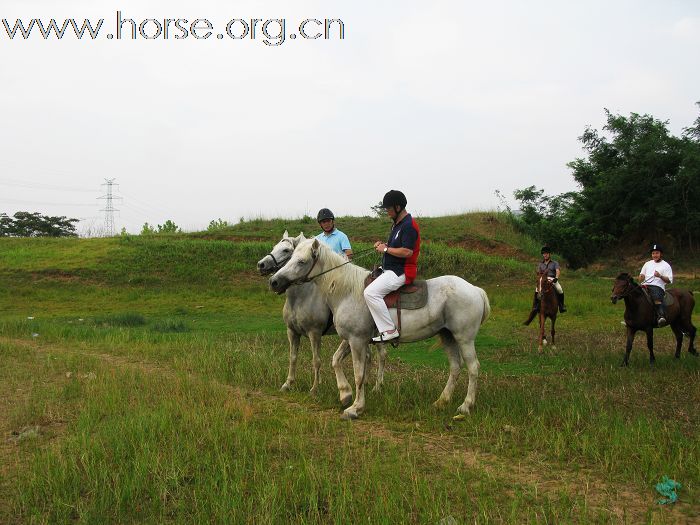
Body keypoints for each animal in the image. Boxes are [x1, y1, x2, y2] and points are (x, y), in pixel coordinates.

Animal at [258, 231, 388, 396]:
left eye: (286, 250)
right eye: (274, 247)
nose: (261, 265)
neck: (300, 298)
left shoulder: (314, 333)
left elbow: (316, 360)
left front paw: (315, 388)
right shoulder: (292, 332)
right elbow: (293, 357)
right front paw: (288, 384)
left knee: (382, 355)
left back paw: (377, 386)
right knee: (368, 356)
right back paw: (366, 382)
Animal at [270, 237, 492, 418]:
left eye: (301, 261)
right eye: (290, 257)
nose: (274, 281)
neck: (347, 291)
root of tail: (475, 289)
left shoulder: (356, 340)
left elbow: (358, 373)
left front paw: (355, 408)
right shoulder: (351, 340)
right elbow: (336, 361)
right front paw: (345, 394)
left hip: (464, 338)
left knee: (473, 368)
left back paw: (465, 406)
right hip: (447, 336)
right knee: (455, 367)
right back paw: (441, 401)